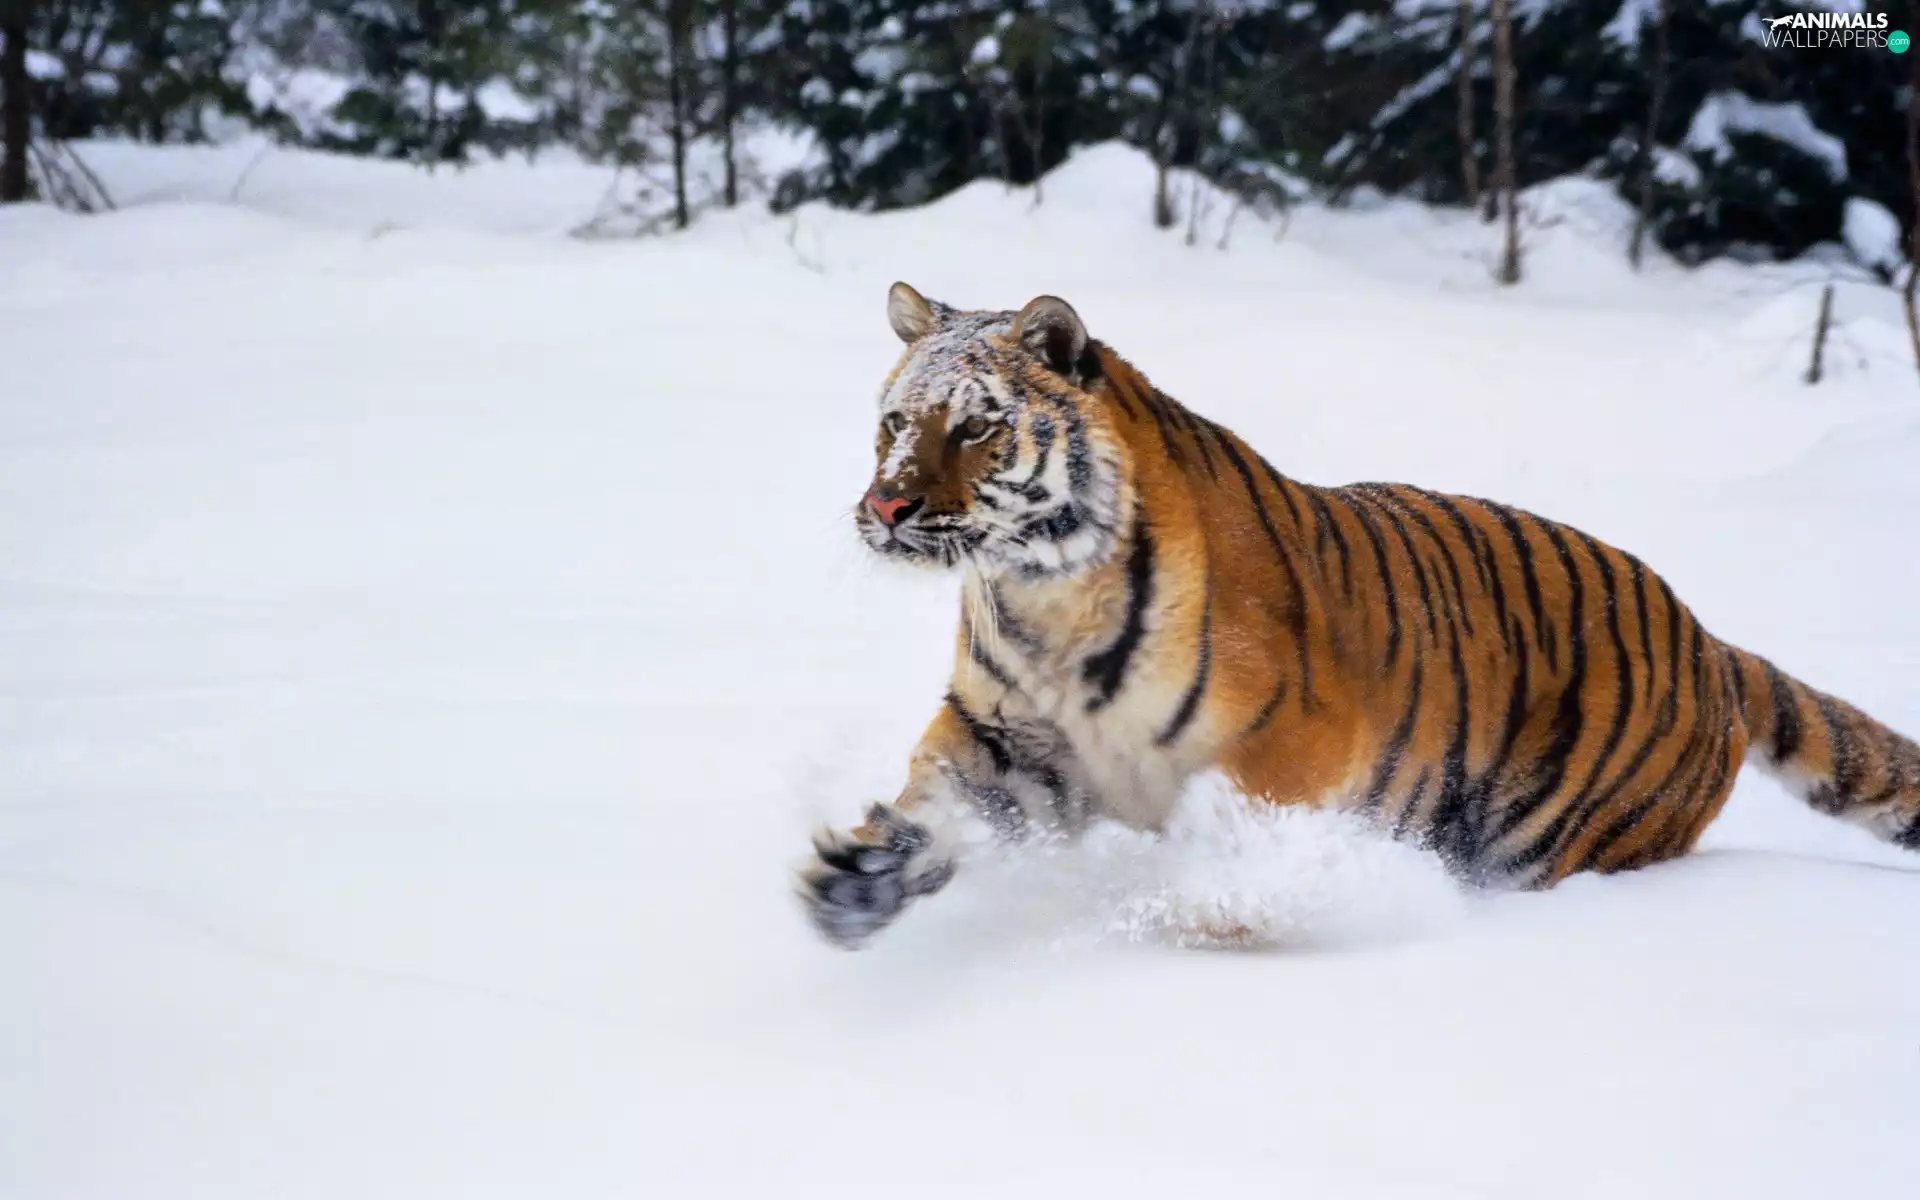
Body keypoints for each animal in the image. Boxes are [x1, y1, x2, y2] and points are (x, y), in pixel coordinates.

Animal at [796, 281, 1920, 949]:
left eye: (976, 427)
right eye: (896, 422)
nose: (885, 506)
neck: (1040, 591)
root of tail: (1712, 642)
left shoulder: (1285, 747)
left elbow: (1235, 849)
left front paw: (1204, 919)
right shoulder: (1003, 735)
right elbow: (938, 805)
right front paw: (858, 880)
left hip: (1554, 837)